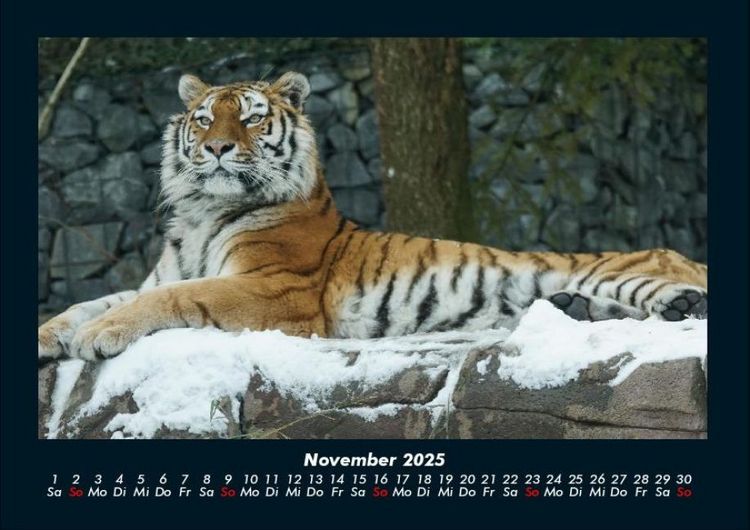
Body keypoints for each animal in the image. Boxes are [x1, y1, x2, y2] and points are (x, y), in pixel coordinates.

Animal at [38, 71, 708, 362]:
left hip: (628, 271)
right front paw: (54, 333)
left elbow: (170, 300)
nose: (218, 147)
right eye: (204, 119)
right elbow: (92, 300)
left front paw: (98, 336)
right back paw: (578, 309)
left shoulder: (275, 289)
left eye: (251, 118)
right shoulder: (165, 273)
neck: (205, 212)